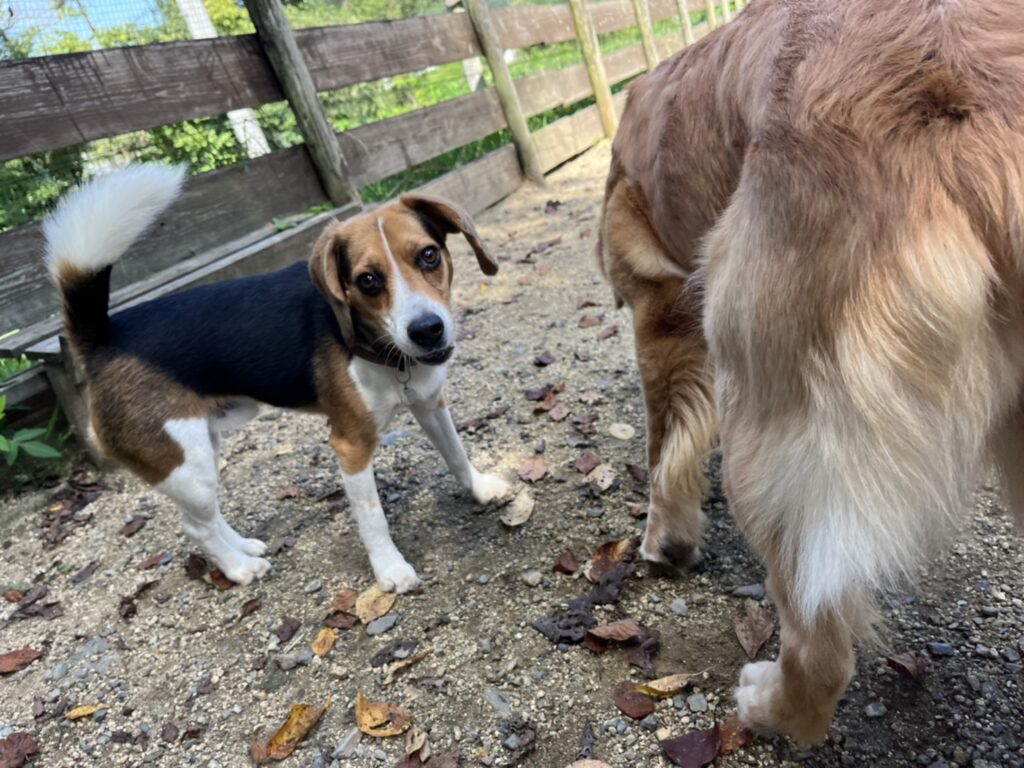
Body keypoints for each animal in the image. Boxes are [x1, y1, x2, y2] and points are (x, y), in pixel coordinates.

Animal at [44, 165, 510, 592]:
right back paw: (239, 568)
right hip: (185, 466)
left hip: (201, 449)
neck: (378, 348)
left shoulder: (430, 404)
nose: (427, 330)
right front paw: (390, 571)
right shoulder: (351, 446)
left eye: (429, 255)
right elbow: (372, 517)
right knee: (196, 526)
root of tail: (104, 338)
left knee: (206, 517)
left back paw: (244, 546)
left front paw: (480, 488)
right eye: (367, 280)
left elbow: (455, 453)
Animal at [598, 0, 1024, 745]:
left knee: (821, 647)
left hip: (773, 414)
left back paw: (768, 706)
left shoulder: (662, 309)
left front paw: (663, 538)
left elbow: (664, 440)